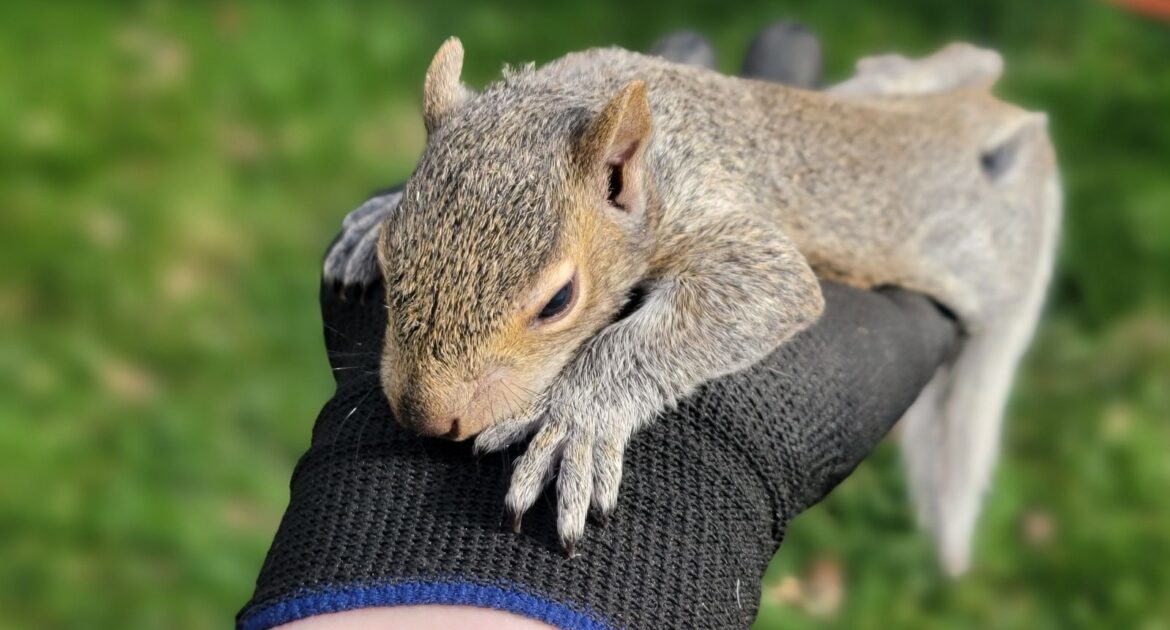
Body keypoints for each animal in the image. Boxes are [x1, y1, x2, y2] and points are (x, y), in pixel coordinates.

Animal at [323, 36, 1060, 575]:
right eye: (392, 255)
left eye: (559, 301)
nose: (426, 416)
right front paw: (368, 223)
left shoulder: (730, 231)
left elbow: (744, 295)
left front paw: (575, 419)